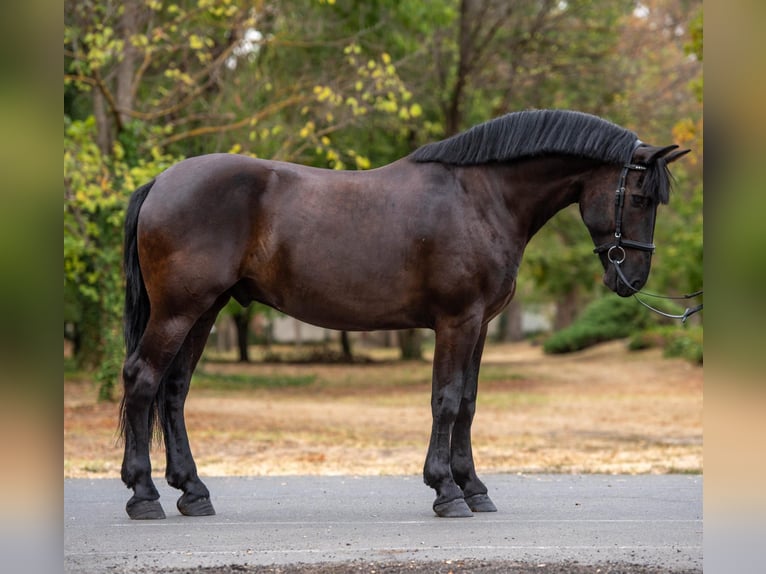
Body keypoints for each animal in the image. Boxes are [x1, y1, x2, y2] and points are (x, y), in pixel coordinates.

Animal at [119, 109, 689, 520]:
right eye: (640, 197)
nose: (632, 279)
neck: (481, 197)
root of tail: (162, 181)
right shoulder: (457, 322)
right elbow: (446, 400)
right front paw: (447, 491)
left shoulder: (480, 326)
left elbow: (469, 404)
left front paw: (474, 488)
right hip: (179, 311)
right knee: (143, 379)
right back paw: (143, 494)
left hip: (204, 311)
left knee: (174, 391)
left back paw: (193, 492)